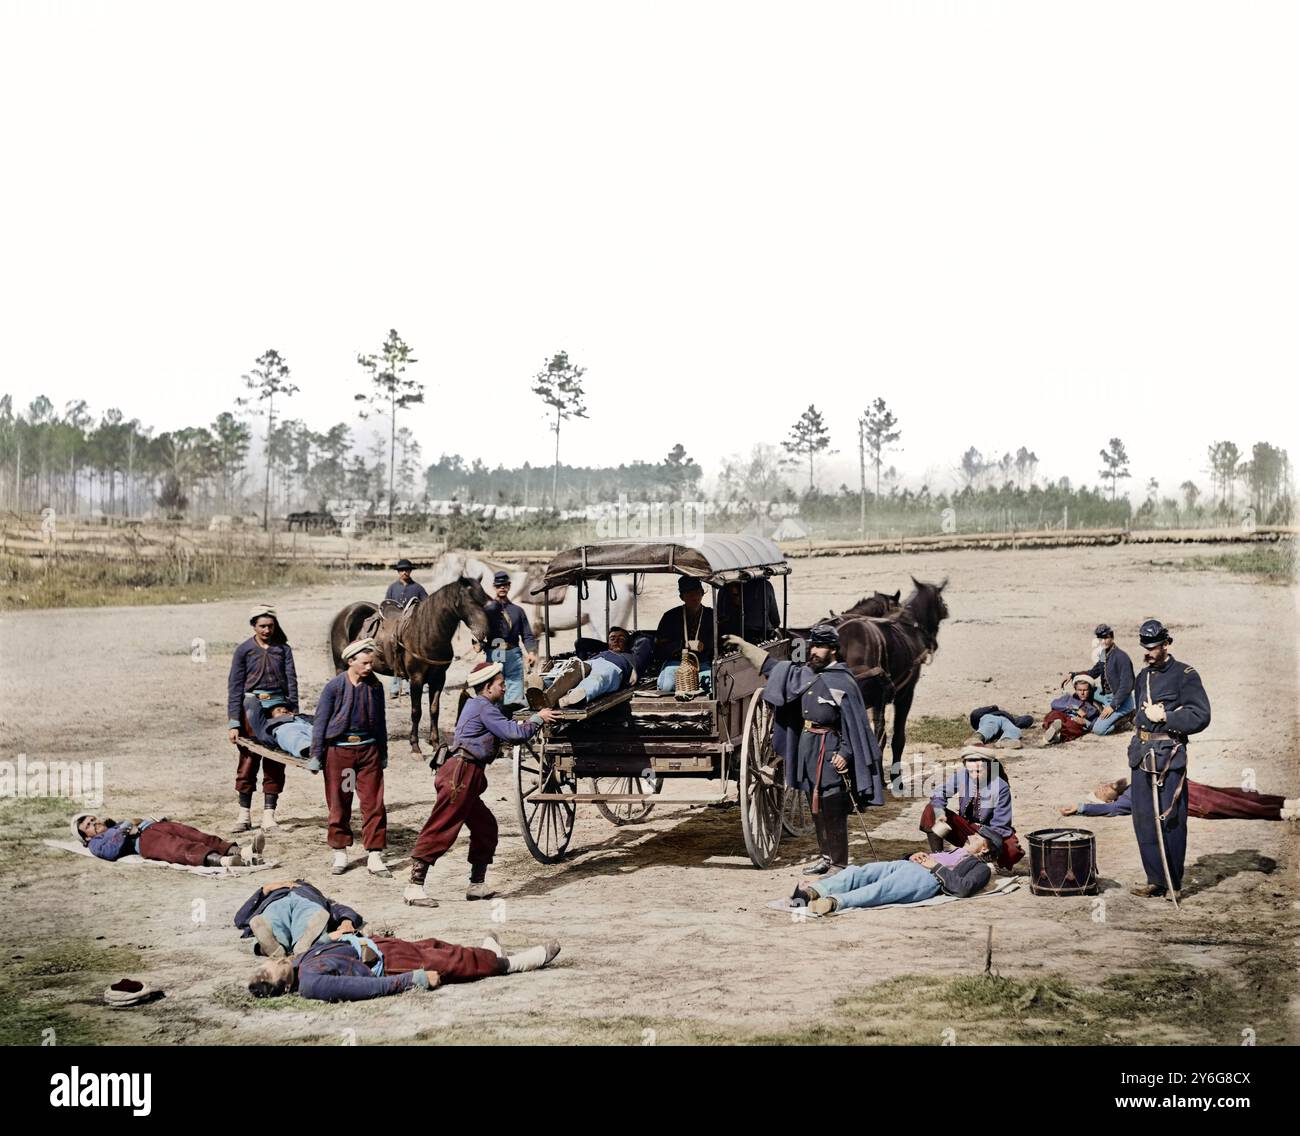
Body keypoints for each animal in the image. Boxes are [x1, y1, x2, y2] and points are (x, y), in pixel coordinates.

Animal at [330, 574, 491, 753]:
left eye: (485, 600)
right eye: (469, 601)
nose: (484, 633)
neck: (426, 634)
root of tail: (346, 613)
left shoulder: (439, 679)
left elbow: (434, 710)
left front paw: (435, 744)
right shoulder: (416, 678)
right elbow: (416, 711)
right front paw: (415, 747)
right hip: (341, 666)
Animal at [837, 579, 951, 785]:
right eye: (940, 600)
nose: (946, 609)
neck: (909, 627)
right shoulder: (905, 694)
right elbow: (896, 737)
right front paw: (894, 775)